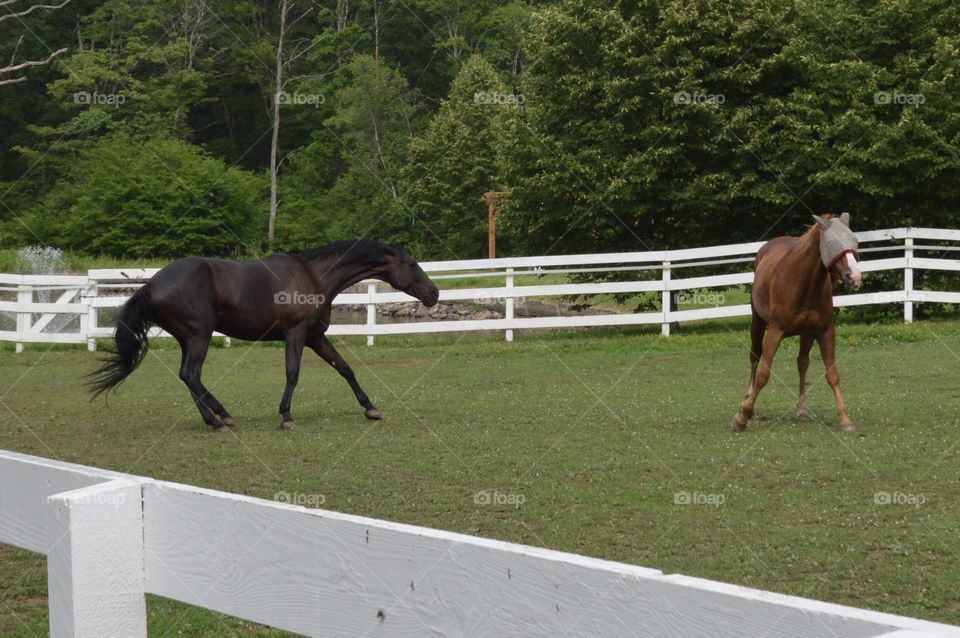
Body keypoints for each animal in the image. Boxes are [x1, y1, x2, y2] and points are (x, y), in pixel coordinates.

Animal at [736, 216, 864, 436]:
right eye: (830, 242)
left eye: (854, 240)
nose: (854, 276)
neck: (802, 283)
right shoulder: (774, 332)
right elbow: (763, 374)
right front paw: (742, 417)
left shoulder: (825, 332)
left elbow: (832, 375)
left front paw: (845, 420)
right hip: (757, 322)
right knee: (754, 358)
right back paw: (747, 399)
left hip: (807, 334)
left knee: (802, 362)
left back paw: (801, 410)